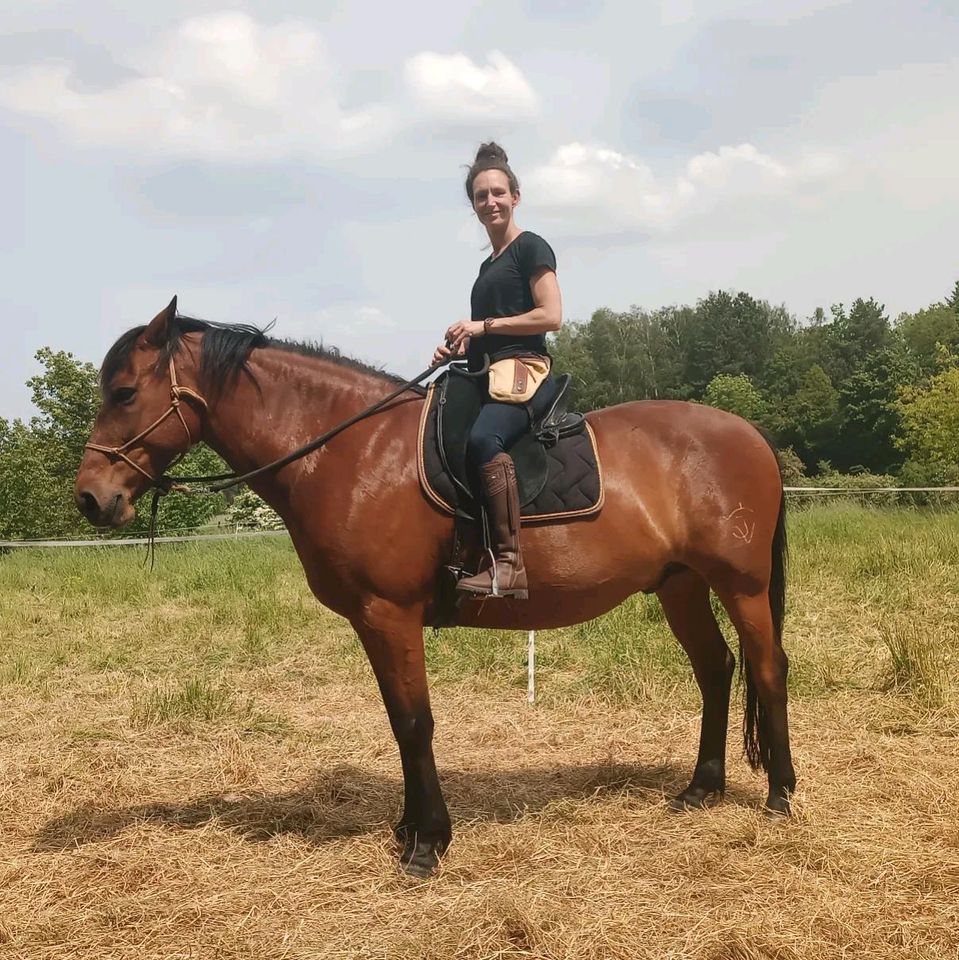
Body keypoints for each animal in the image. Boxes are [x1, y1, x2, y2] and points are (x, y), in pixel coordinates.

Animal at [75, 300, 796, 876]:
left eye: (124, 392)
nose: (90, 499)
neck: (351, 452)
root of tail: (752, 434)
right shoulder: (372, 621)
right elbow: (399, 724)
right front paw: (407, 828)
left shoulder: (388, 614)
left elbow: (415, 722)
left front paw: (427, 844)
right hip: (680, 586)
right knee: (716, 669)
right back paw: (701, 789)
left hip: (741, 586)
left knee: (766, 668)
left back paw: (781, 794)